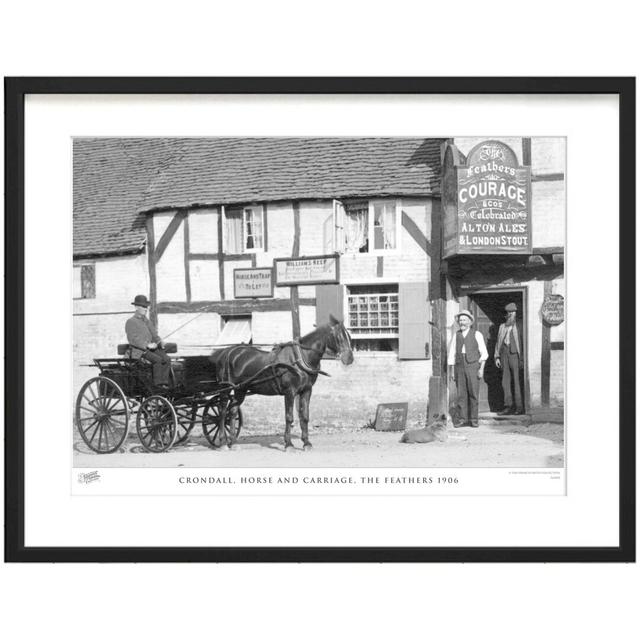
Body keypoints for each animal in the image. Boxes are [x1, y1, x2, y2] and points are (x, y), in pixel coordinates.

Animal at [210, 316, 352, 450]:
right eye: (338, 336)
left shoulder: (306, 390)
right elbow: (289, 417)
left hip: (240, 389)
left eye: (349, 335)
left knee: (233, 411)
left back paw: (233, 442)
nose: (349, 358)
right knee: (222, 412)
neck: (299, 358)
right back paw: (223, 442)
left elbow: (305, 416)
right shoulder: (290, 392)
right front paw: (289, 444)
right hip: (225, 388)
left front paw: (306, 443)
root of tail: (226, 352)